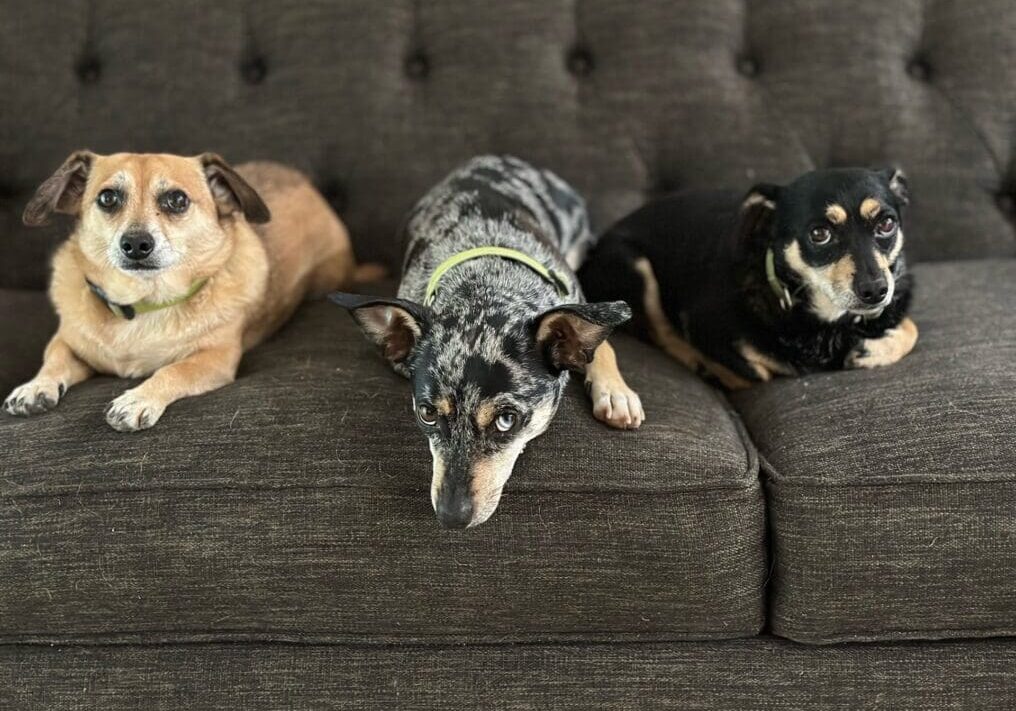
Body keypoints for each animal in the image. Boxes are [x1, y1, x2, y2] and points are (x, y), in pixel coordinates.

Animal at [3, 150, 373, 430]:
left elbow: (174, 369)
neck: (142, 303)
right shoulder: (67, 339)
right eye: (107, 198)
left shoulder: (215, 359)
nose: (136, 244)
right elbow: (54, 358)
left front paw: (137, 398)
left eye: (177, 200)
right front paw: (35, 386)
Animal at [331, 156, 642, 532]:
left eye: (507, 420)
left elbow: (602, 345)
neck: (488, 281)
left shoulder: (576, 295)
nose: (451, 517)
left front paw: (615, 392)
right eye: (427, 413)